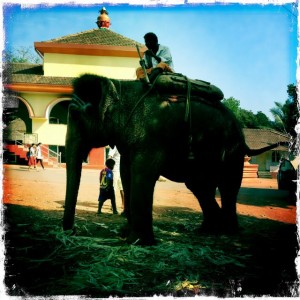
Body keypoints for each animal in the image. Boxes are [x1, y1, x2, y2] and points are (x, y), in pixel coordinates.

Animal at [62, 74, 282, 245]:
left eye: (74, 113)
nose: (72, 231)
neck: (120, 86)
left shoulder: (151, 136)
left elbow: (143, 174)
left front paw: (137, 242)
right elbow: (126, 173)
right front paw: (126, 235)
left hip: (231, 150)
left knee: (227, 186)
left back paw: (227, 232)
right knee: (200, 186)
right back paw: (209, 229)